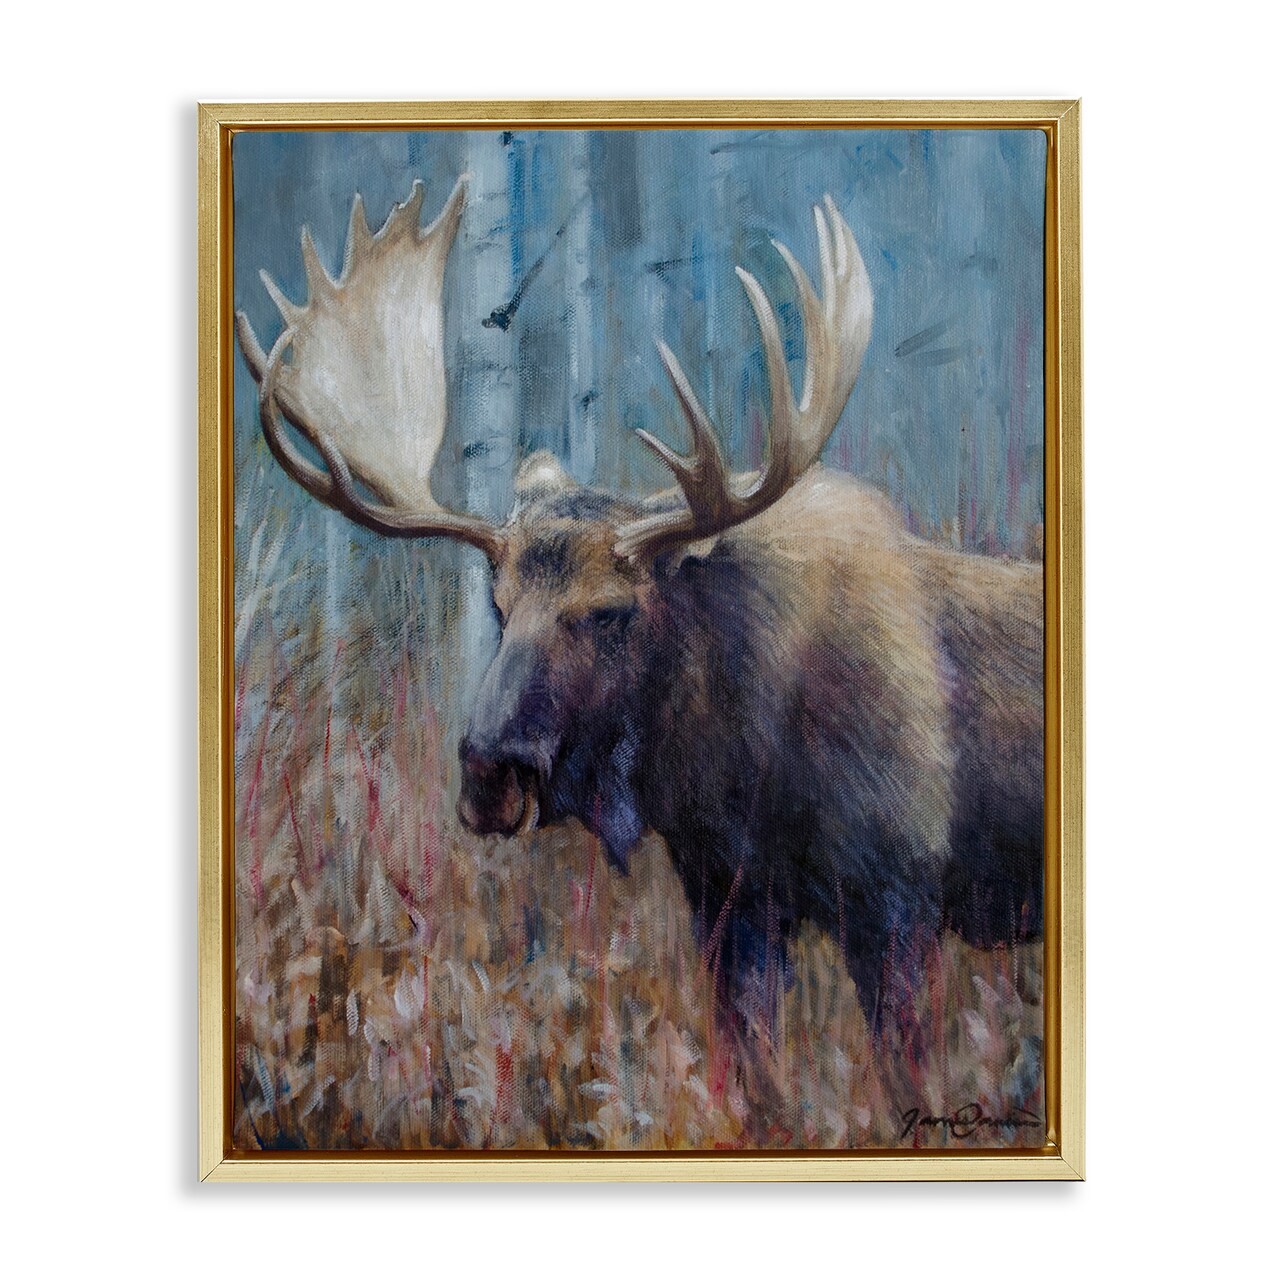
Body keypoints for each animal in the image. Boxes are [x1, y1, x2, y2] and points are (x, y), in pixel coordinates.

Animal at [236, 176, 1044, 1113]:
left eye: (611, 612)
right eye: (497, 605)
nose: (488, 769)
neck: (733, 768)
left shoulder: (899, 895)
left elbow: (908, 1079)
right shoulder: (729, 901)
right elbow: (753, 1080)